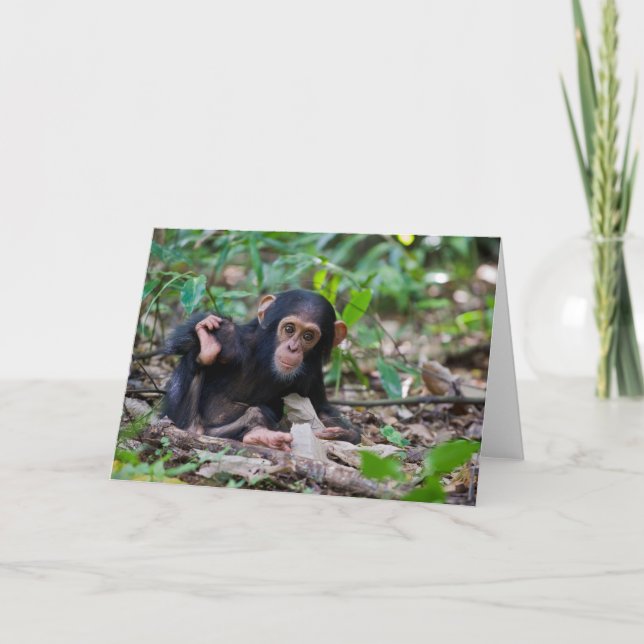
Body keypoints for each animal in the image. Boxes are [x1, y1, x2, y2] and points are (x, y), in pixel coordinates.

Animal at [163, 289, 361, 451]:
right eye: (289, 329)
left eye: (308, 336)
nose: (293, 348)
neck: (266, 357)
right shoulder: (229, 338)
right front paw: (208, 338)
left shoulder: (312, 373)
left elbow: (319, 408)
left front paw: (344, 433)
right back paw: (207, 347)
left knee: (256, 414)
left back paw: (260, 435)